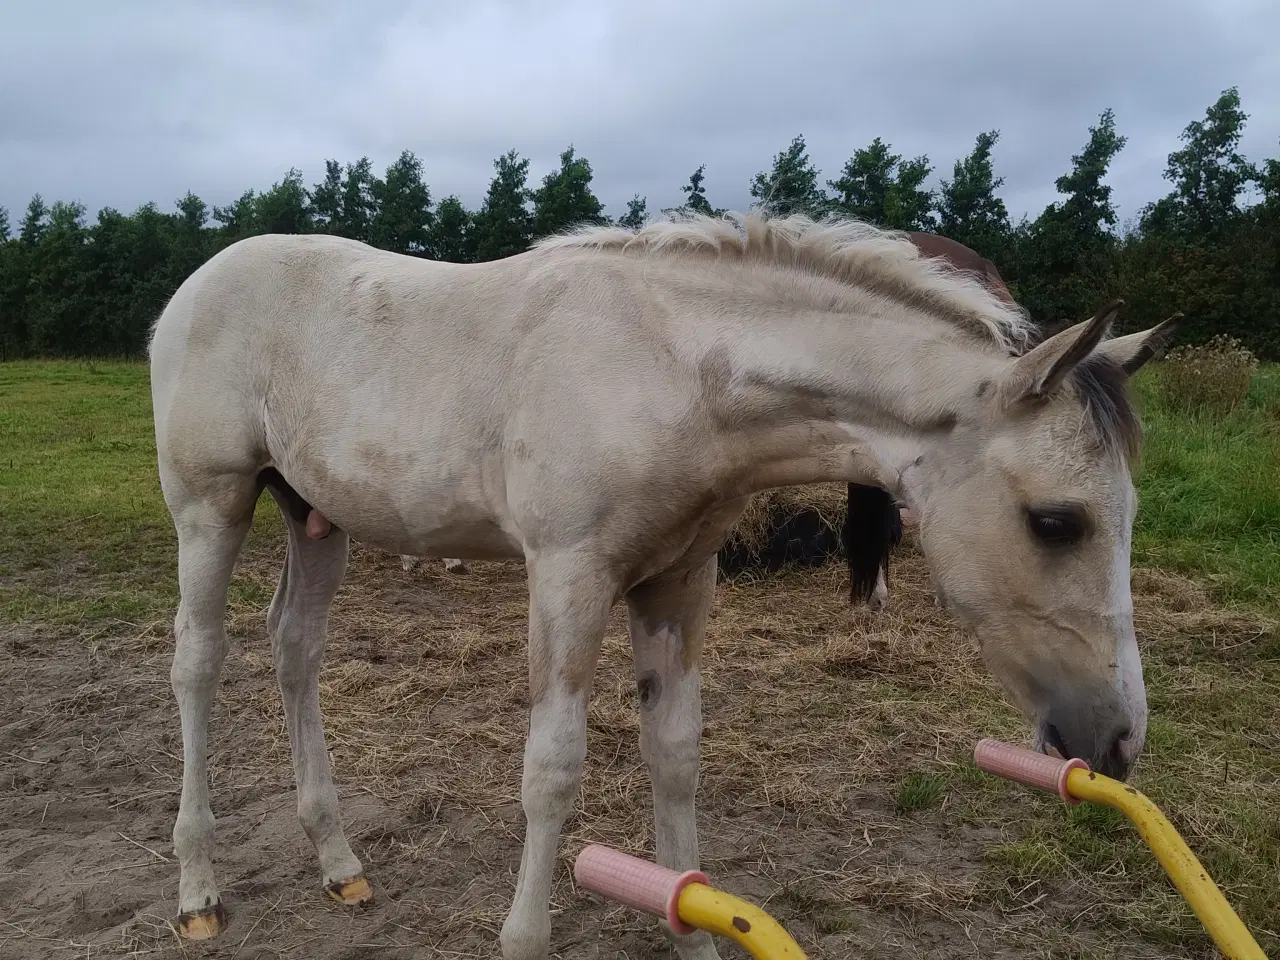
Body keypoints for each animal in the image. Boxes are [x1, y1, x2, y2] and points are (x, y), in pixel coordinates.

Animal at [149, 216, 1177, 960]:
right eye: (1057, 521)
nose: (1117, 740)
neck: (673, 371)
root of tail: (195, 284)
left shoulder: (678, 583)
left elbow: (674, 751)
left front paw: (695, 936)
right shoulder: (568, 576)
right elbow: (553, 768)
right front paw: (524, 937)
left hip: (313, 516)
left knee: (295, 649)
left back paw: (338, 862)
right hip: (212, 504)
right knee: (198, 661)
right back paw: (198, 892)